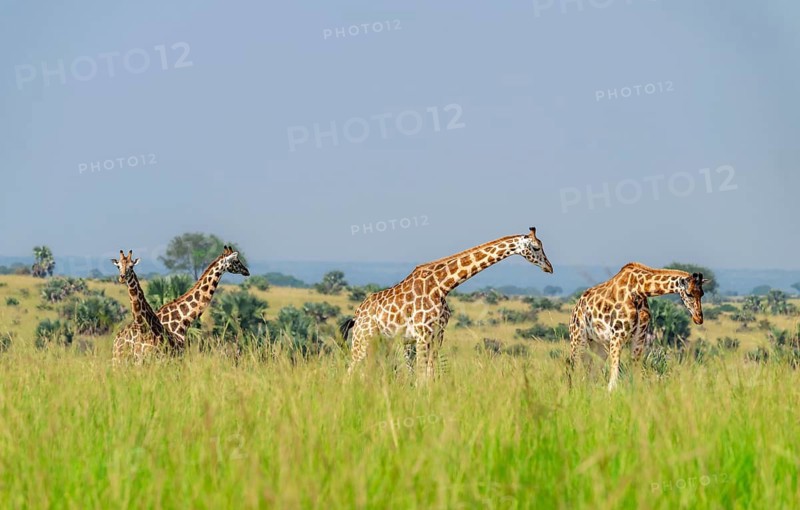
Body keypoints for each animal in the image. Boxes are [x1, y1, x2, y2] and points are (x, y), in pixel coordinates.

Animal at [341, 227, 554, 381]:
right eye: (536, 247)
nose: (549, 267)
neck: (442, 286)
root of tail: (357, 314)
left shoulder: (438, 334)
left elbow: (430, 374)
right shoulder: (422, 334)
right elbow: (421, 374)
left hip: (381, 342)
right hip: (362, 339)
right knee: (350, 371)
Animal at [567, 262, 709, 391]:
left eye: (702, 293)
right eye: (689, 294)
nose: (698, 319)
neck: (639, 290)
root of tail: (576, 306)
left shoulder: (639, 337)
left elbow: (635, 375)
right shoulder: (618, 335)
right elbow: (613, 380)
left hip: (599, 345)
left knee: (591, 373)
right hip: (578, 338)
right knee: (574, 368)